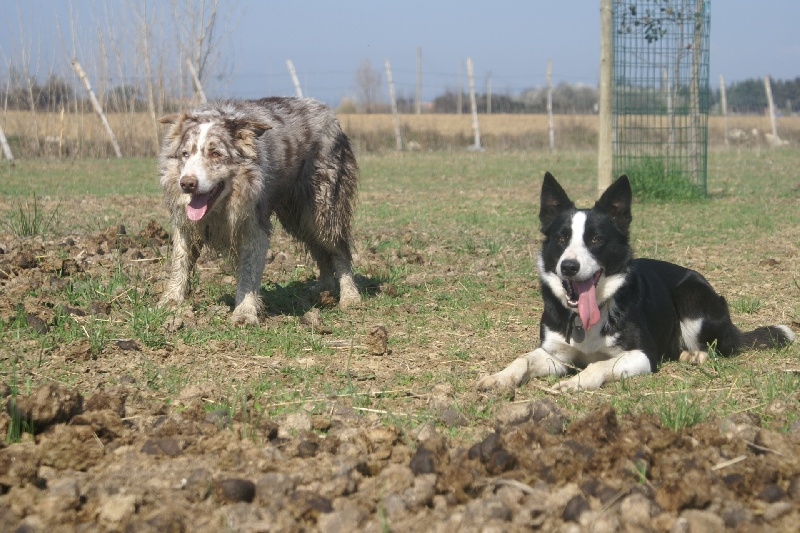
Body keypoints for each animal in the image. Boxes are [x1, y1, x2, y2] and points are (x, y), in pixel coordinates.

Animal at [478, 171, 792, 390]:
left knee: (719, 345)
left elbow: (600, 365)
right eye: (561, 238)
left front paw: (576, 382)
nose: (569, 267)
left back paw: (696, 355)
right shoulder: (555, 356)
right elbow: (523, 359)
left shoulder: (642, 355)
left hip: (693, 300)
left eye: (596, 239)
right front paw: (499, 377)